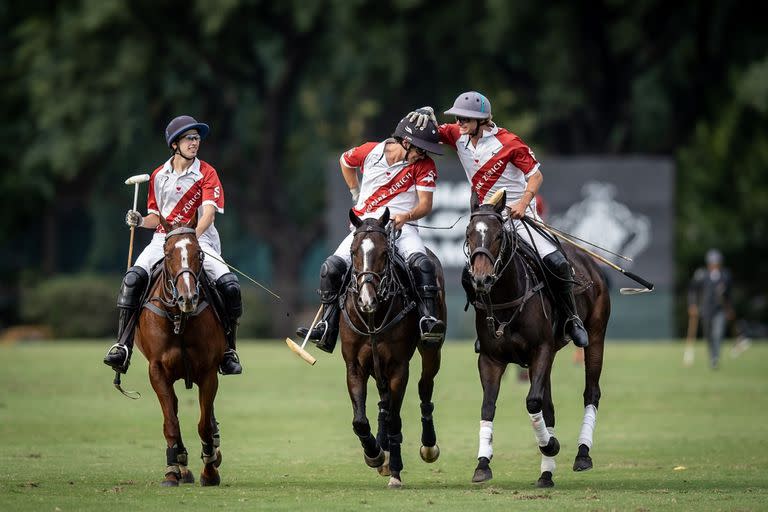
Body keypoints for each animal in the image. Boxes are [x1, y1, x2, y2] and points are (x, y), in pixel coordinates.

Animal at [134, 216, 225, 488]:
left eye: (199, 254)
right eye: (167, 254)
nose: (188, 298)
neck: (179, 319)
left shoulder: (208, 372)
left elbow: (204, 425)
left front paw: (210, 471)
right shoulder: (156, 370)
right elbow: (171, 423)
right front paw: (173, 471)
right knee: (172, 408)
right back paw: (181, 465)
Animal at [342, 208, 444, 488]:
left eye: (384, 253)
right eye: (353, 251)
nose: (366, 300)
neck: (373, 317)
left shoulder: (399, 367)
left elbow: (396, 419)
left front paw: (396, 471)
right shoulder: (354, 366)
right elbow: (359, 420)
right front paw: (375, 454)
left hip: (432, 349)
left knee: (425, 387)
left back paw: (428, 446)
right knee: (384, 402)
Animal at [464, 191, 608, 488]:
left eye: (498, 235)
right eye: (469, 233)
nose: (481, 279)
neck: (506, 299)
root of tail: (590, 261)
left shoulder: (540, 351)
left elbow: (532, 402)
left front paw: (550, 445)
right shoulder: (490, 359)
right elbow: (488, 406)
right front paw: (483, 464)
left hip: (596, 336)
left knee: (591, 392)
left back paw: (582, 454)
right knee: (549, 406)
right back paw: (546, 474)